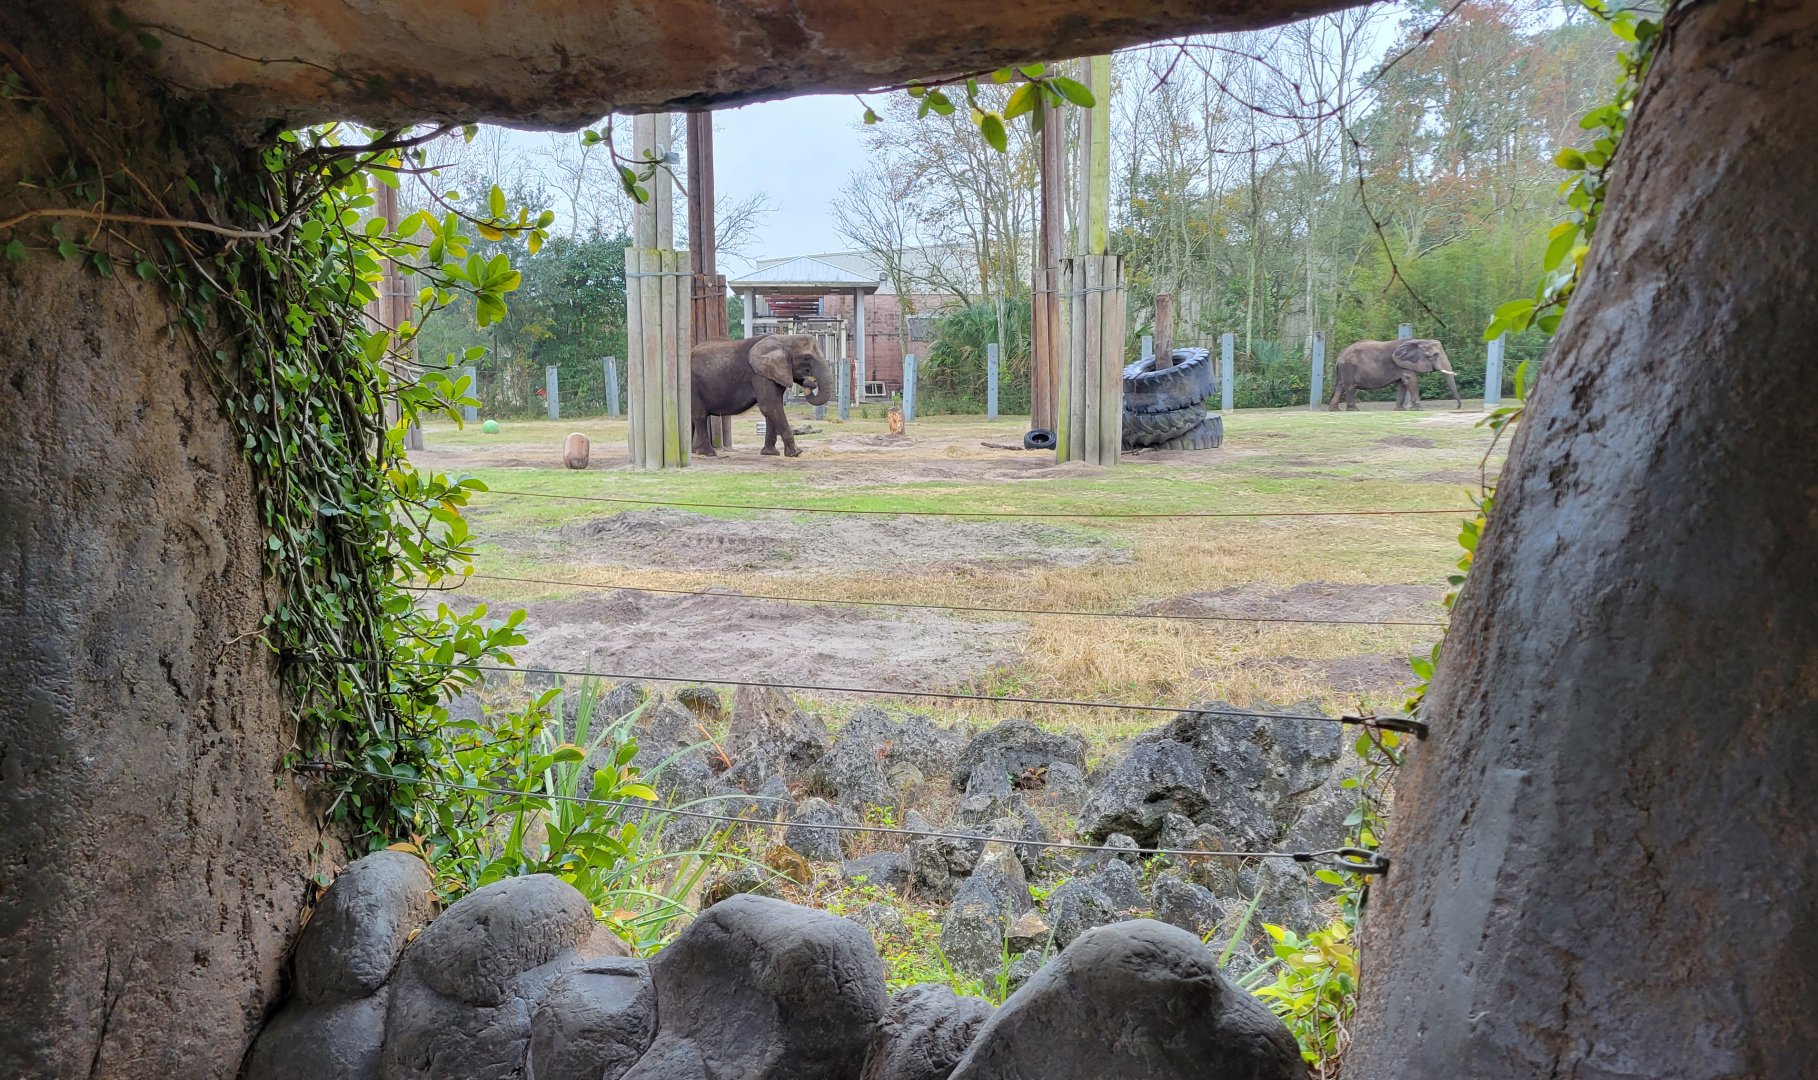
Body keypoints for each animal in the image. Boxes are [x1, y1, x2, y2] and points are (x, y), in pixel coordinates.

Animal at [691, 334, 833, 457]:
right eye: (807, 358)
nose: (809, 383)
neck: (785, 339)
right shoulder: (759, 374)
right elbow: (770, 407)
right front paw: (796, 453)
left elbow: (772, 408)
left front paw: (770, 453)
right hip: (693, 386)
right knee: (699, 416)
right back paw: (708, 453)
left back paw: (693, 452)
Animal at [1326, 338, 1461, 411]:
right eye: (1435, 355)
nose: (1456, 408)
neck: (1419, 341)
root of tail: (1339, 356)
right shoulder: (1403, 364)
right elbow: (1410, 379)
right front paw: (1419, 409)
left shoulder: (1403, 364)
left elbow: (1402, 383)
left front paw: (1400, 410)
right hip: (1348, 366)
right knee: (1349, 386)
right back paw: (1354, 410)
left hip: (1344, 369)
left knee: (1340, 386)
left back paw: (1335, 410)